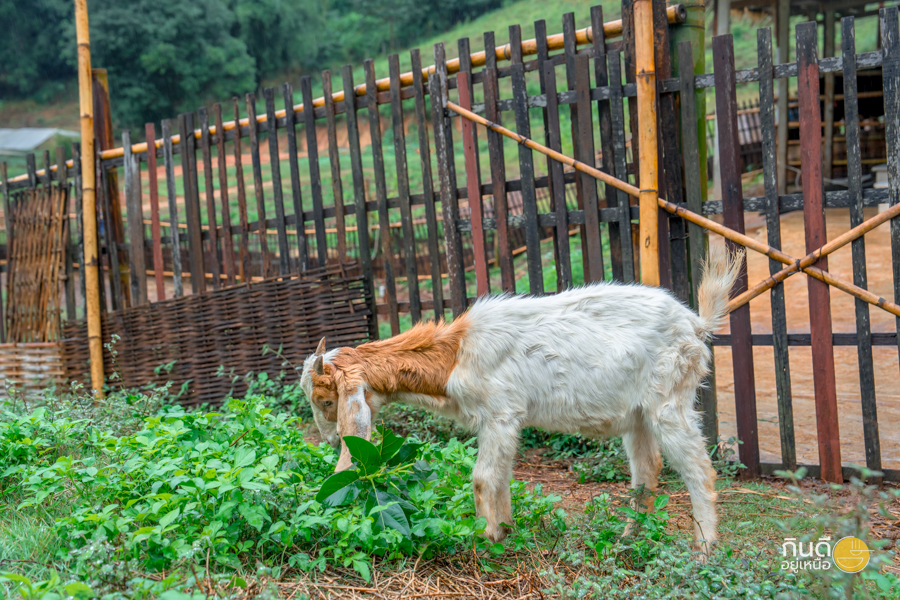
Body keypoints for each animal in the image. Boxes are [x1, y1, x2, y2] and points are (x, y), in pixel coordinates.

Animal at [298, 247, 740, 552]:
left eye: (325, 400)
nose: (332, 441)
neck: (455, 356)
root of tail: (696, 325)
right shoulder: (504, 423)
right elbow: (504, 475)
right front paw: (506, 530)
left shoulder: (500, 414)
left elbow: (481, 477)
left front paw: (483, 537)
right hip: (638, 416)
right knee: (647, 473)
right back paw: (628, 540)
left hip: (670, 402)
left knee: (700, 470)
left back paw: (704, 548)